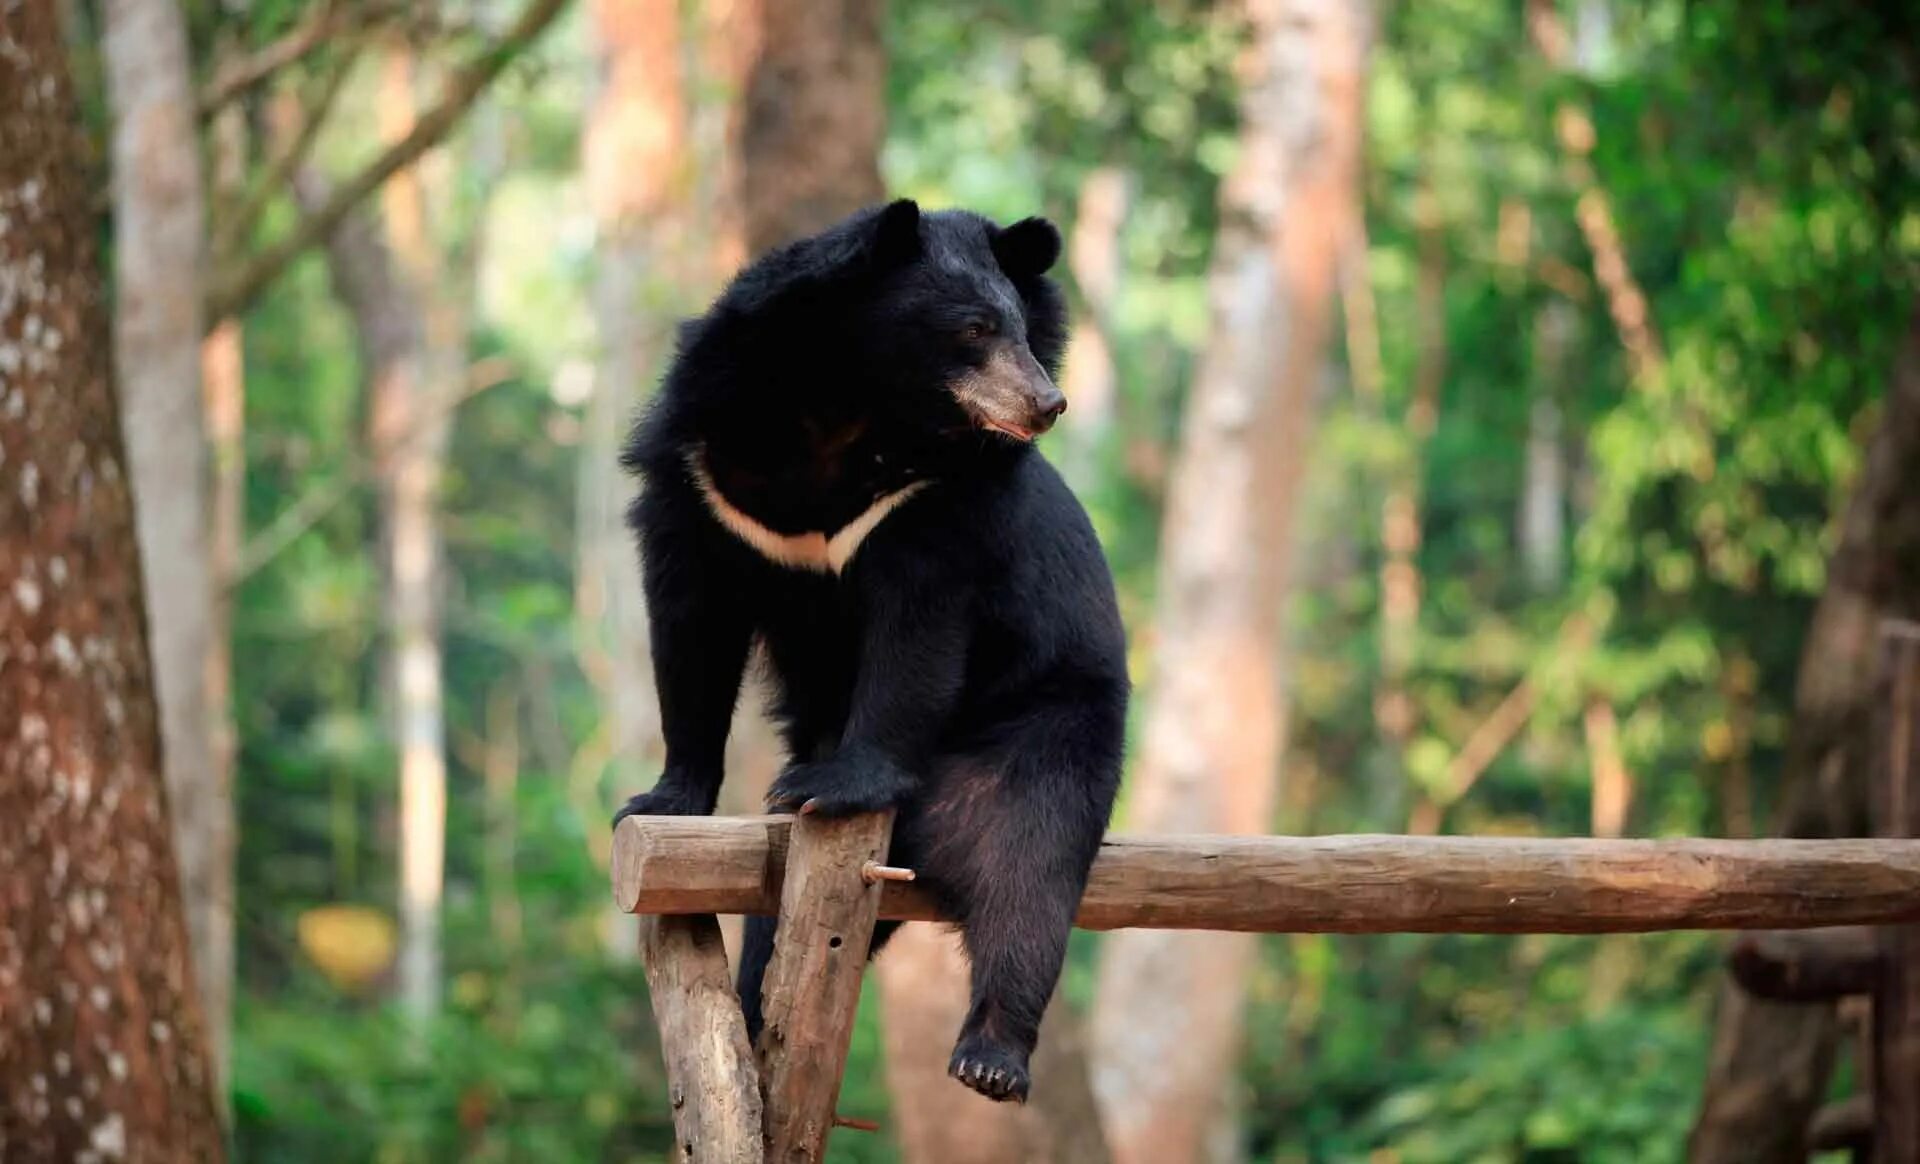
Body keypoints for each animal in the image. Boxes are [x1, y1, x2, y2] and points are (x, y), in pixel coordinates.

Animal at [610, 200, 1121, 1106]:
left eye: (1024, 329)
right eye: (974, 327)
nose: (1048, 402)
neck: (848, 407)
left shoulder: (927, 502)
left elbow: (914, 639)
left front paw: (839, 782)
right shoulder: (704, 476)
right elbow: (691, 628)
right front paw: (659, 799)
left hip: (1047, 723)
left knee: (1029, 867)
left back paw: (991, 1057)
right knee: (772, 921)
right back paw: (753, 1012)